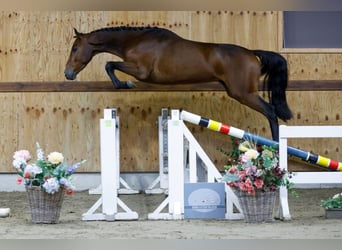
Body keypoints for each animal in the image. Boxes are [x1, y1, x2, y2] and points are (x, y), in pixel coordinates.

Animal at [65, 26, 292, 143]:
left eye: (75, 48)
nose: (68, 74)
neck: (136, 40)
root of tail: (252, 53)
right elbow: (110, 64)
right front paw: (123, 84)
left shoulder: (141, 71)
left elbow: (109, 64)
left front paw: (125, 84)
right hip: (237, 91)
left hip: (243, 93)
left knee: (271, 111)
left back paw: (276, 146)